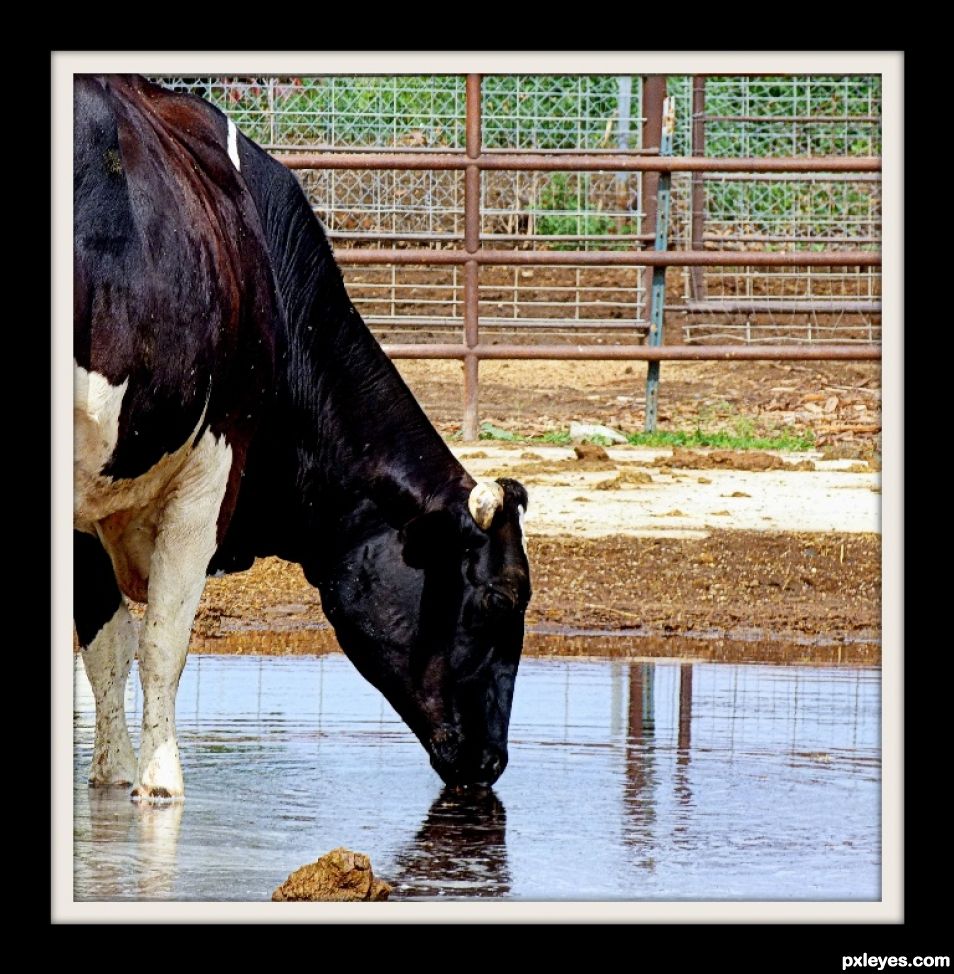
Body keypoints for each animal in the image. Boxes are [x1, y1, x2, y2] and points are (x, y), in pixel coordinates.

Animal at [76, 76, 528, 804]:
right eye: (499, 598)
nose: (491, 761)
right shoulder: (209, 473)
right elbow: (163, 642)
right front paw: (160, 782)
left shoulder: (96, 500)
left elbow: (107, 647)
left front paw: (114, 777)